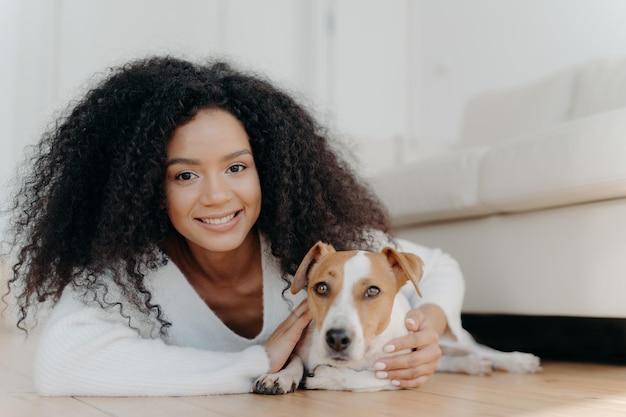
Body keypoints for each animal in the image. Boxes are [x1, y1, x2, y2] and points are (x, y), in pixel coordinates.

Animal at [251, 240, 540, 394]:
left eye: (372, 291)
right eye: (321, 288)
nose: (337, 339)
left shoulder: (400, 371)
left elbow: (360, 377)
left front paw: (326, 377)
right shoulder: (302, 345)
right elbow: (294, 362)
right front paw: (280, 376)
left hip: (452, 339)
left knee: (479, 349)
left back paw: (517, 361)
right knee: (446, 361)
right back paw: (471, 365)